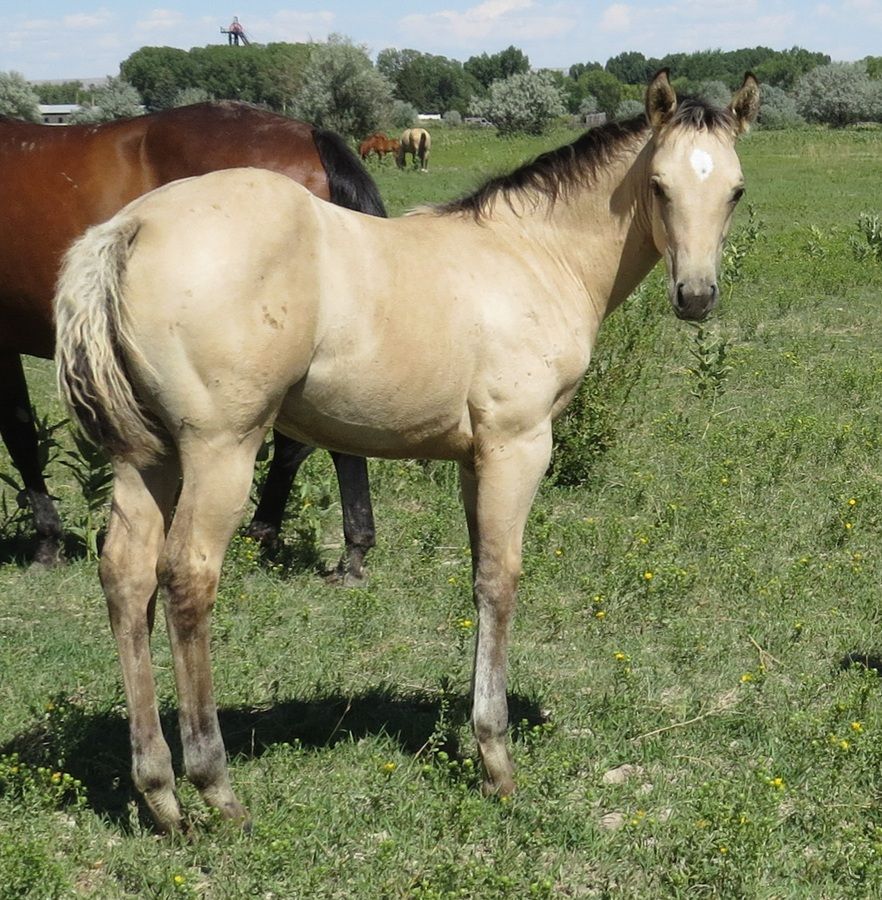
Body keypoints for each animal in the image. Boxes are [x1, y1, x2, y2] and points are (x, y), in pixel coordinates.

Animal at [54, 71, 759, 831]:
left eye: (735, 190)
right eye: (659, 185)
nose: (695, 295)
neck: (533, 255)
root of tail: (130, 228)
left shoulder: (474, 458)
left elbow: (480, 576)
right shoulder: (517, 445)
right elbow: (501, 581)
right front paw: (496, 759)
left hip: (146, 456)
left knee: (126, 575)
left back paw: (160, 794)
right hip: (220, 449)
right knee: (187, 578)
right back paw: (216, 786)